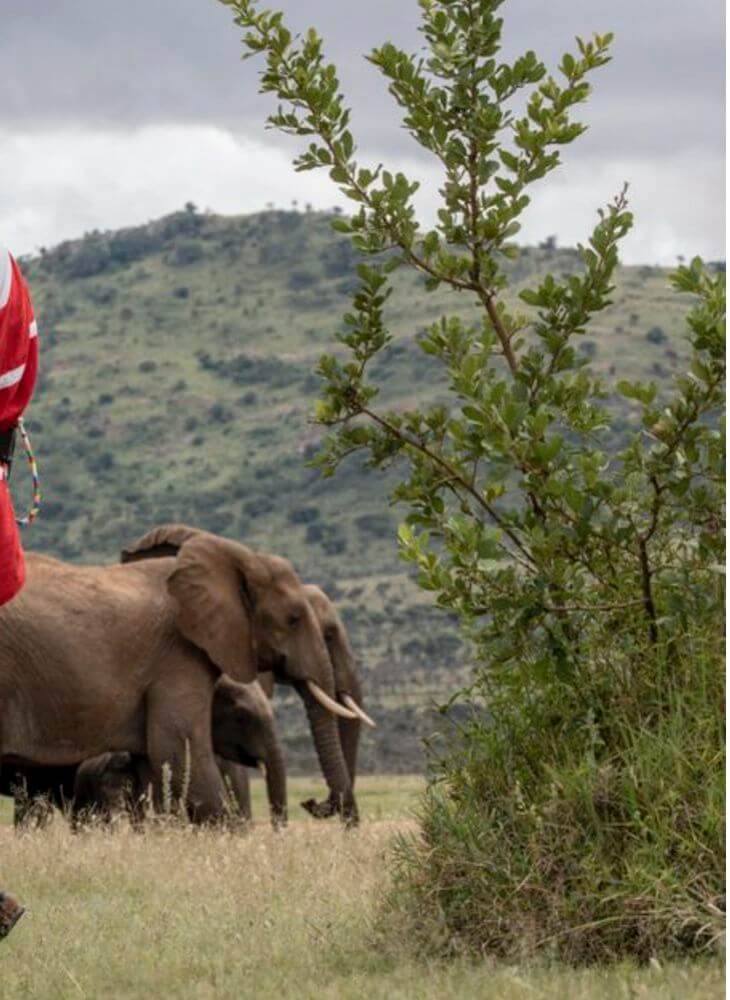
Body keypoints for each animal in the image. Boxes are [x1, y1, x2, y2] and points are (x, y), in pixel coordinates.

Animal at [0, 528, 352, 824]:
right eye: (293, 619)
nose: (312, 802)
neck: (240, 558)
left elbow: (158, 768)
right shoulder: (176, 658)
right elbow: (181, 757)